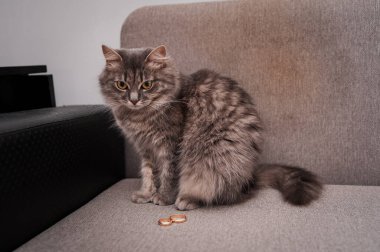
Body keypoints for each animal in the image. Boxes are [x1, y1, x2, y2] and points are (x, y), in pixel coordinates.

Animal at [99, 45, 322, 211]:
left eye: (147, 84)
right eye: (121, 85)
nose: (134, 100)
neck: (139, 117)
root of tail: (249, 179)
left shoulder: (170, 145)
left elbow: (168, 174)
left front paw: (163, 197)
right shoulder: (145, 148)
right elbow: (148, 173)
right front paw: (146, 193)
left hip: (213, 164)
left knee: (218, 194)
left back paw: (187, 200)